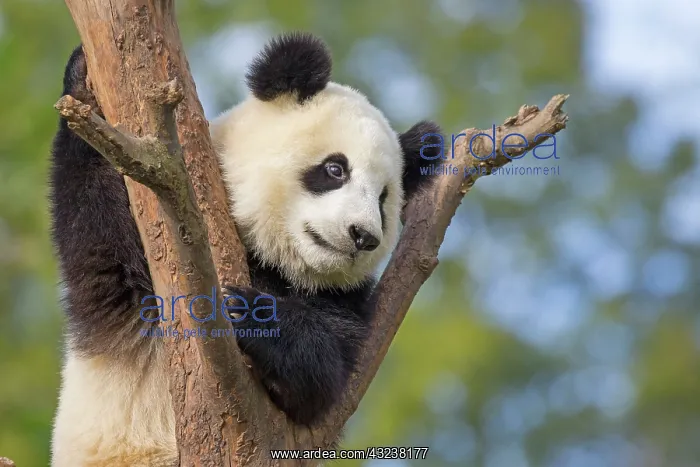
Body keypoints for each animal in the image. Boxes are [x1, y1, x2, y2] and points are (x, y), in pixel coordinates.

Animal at [49, 32, 441, 466]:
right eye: (335, 169)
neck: (272, 261)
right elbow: (96, 231)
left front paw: (252, 312)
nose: (363, 236)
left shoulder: (348, 304)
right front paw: (81, 79)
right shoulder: (127, 274)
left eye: (384, 199)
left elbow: (323, 380)